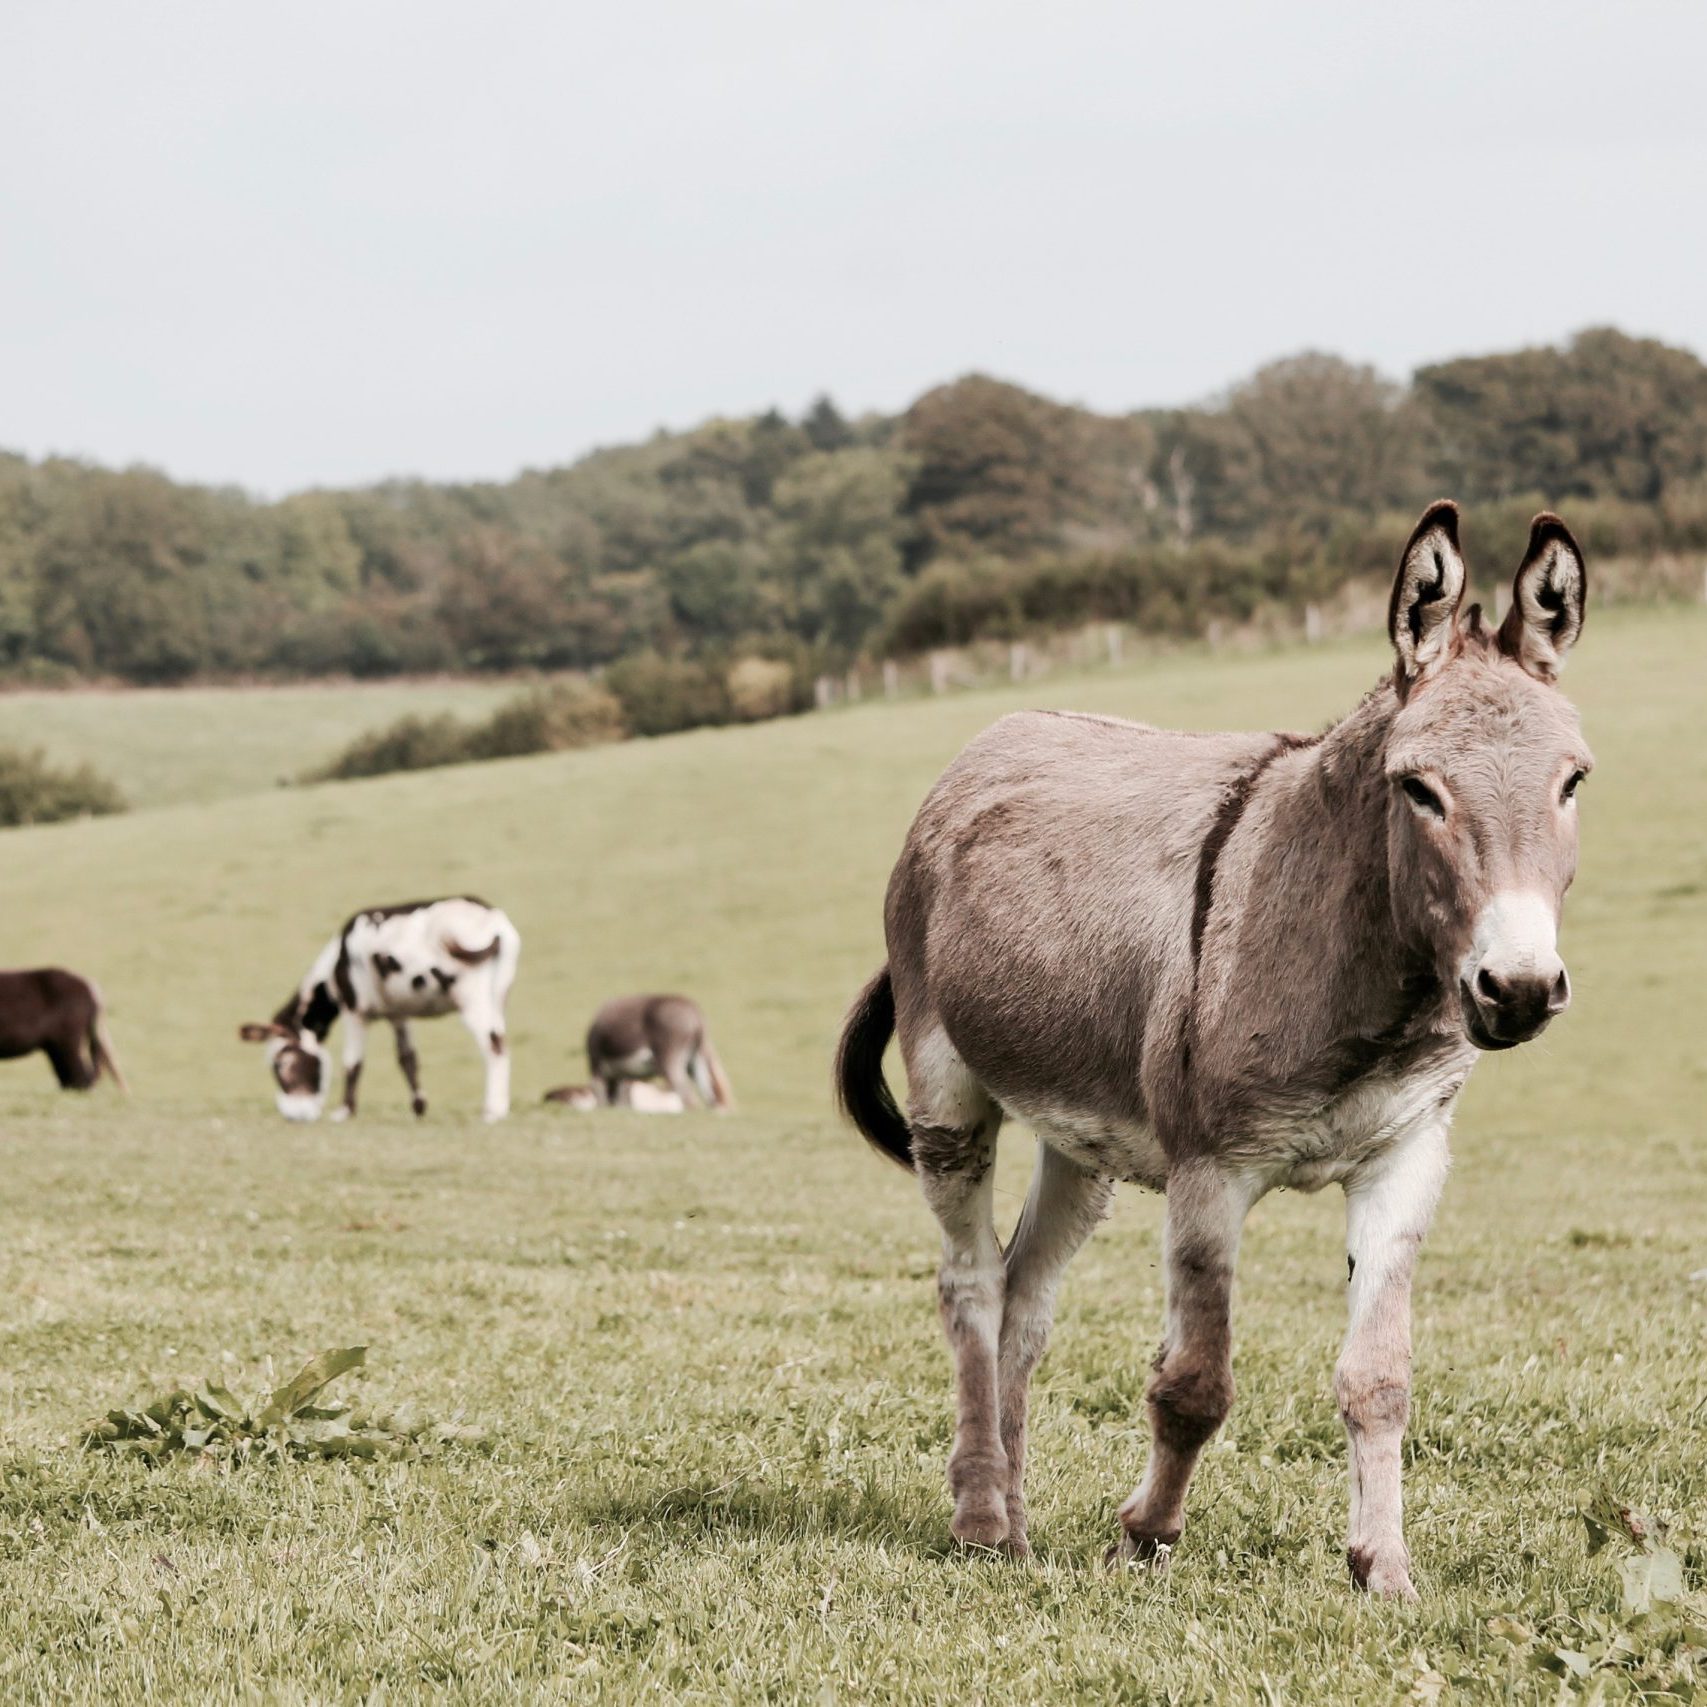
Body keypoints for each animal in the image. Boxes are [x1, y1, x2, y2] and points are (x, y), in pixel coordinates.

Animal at [240, 894, 518, 1119]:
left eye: (281, 1065)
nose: (292, 1116)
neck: (337, 962)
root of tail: (492, 918)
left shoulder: (355, 1010)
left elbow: (352, 1062)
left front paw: (345, 1111)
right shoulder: (398, 1013)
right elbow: (407, 1059)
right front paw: (418, 1107)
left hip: (471, 996)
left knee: (495, 1046)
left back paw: (493, 1111)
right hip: (499, 995)